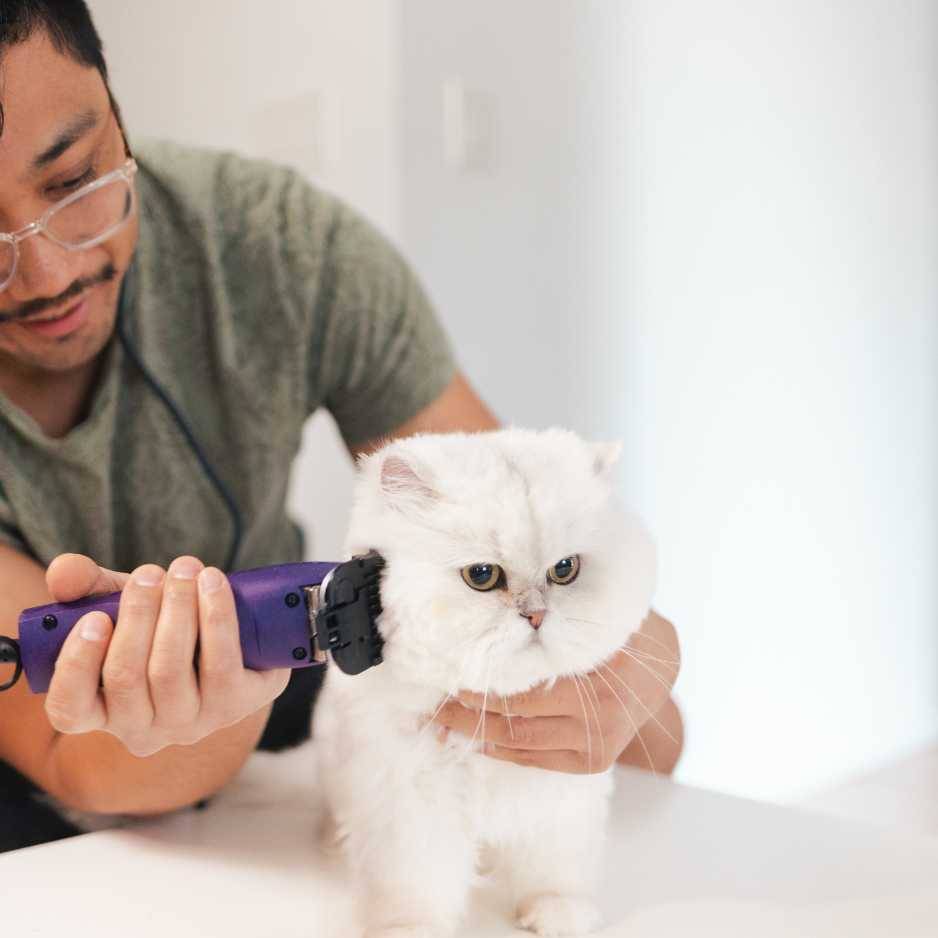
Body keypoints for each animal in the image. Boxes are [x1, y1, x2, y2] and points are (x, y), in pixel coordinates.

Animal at [310, 426, 656, 936]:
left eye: (565, 569)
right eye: (482, 576)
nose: (536, 615)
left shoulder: (563, 789)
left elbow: (552, 869)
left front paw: (556, 914)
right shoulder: (410, 802)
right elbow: (415, 885)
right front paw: (408, 929)